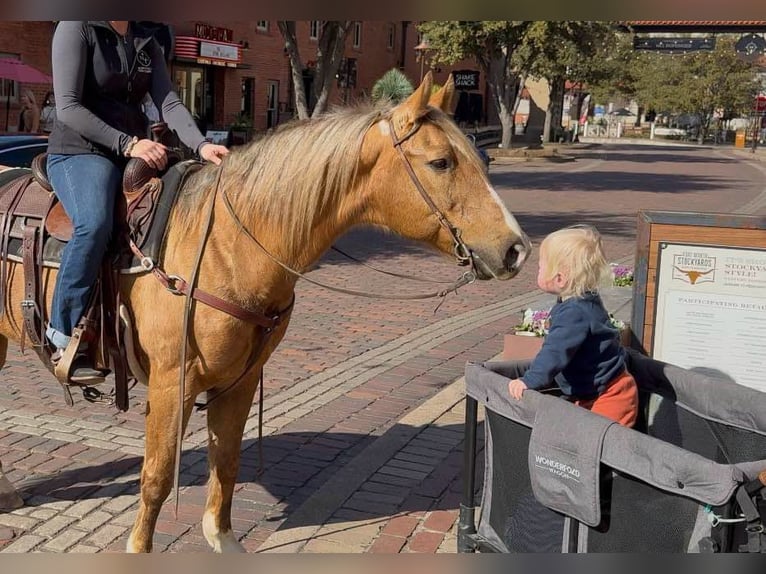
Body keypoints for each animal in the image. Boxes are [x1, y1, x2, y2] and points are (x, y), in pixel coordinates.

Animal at [0, 72, 530, 552]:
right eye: (441, 162)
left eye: (478, 158)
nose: (516, 249)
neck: (227, 246)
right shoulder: (174, 383)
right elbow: (155, 478)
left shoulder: (239, 379)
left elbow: (227, 464)